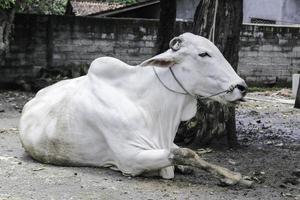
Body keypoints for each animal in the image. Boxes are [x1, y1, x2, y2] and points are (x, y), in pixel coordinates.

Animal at [19, 32, 250, 184]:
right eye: (203, 54)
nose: (242, 87)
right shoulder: (130, 159)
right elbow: (186, 153)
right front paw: (233, 177)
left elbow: (187, 153)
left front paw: (234, 176)